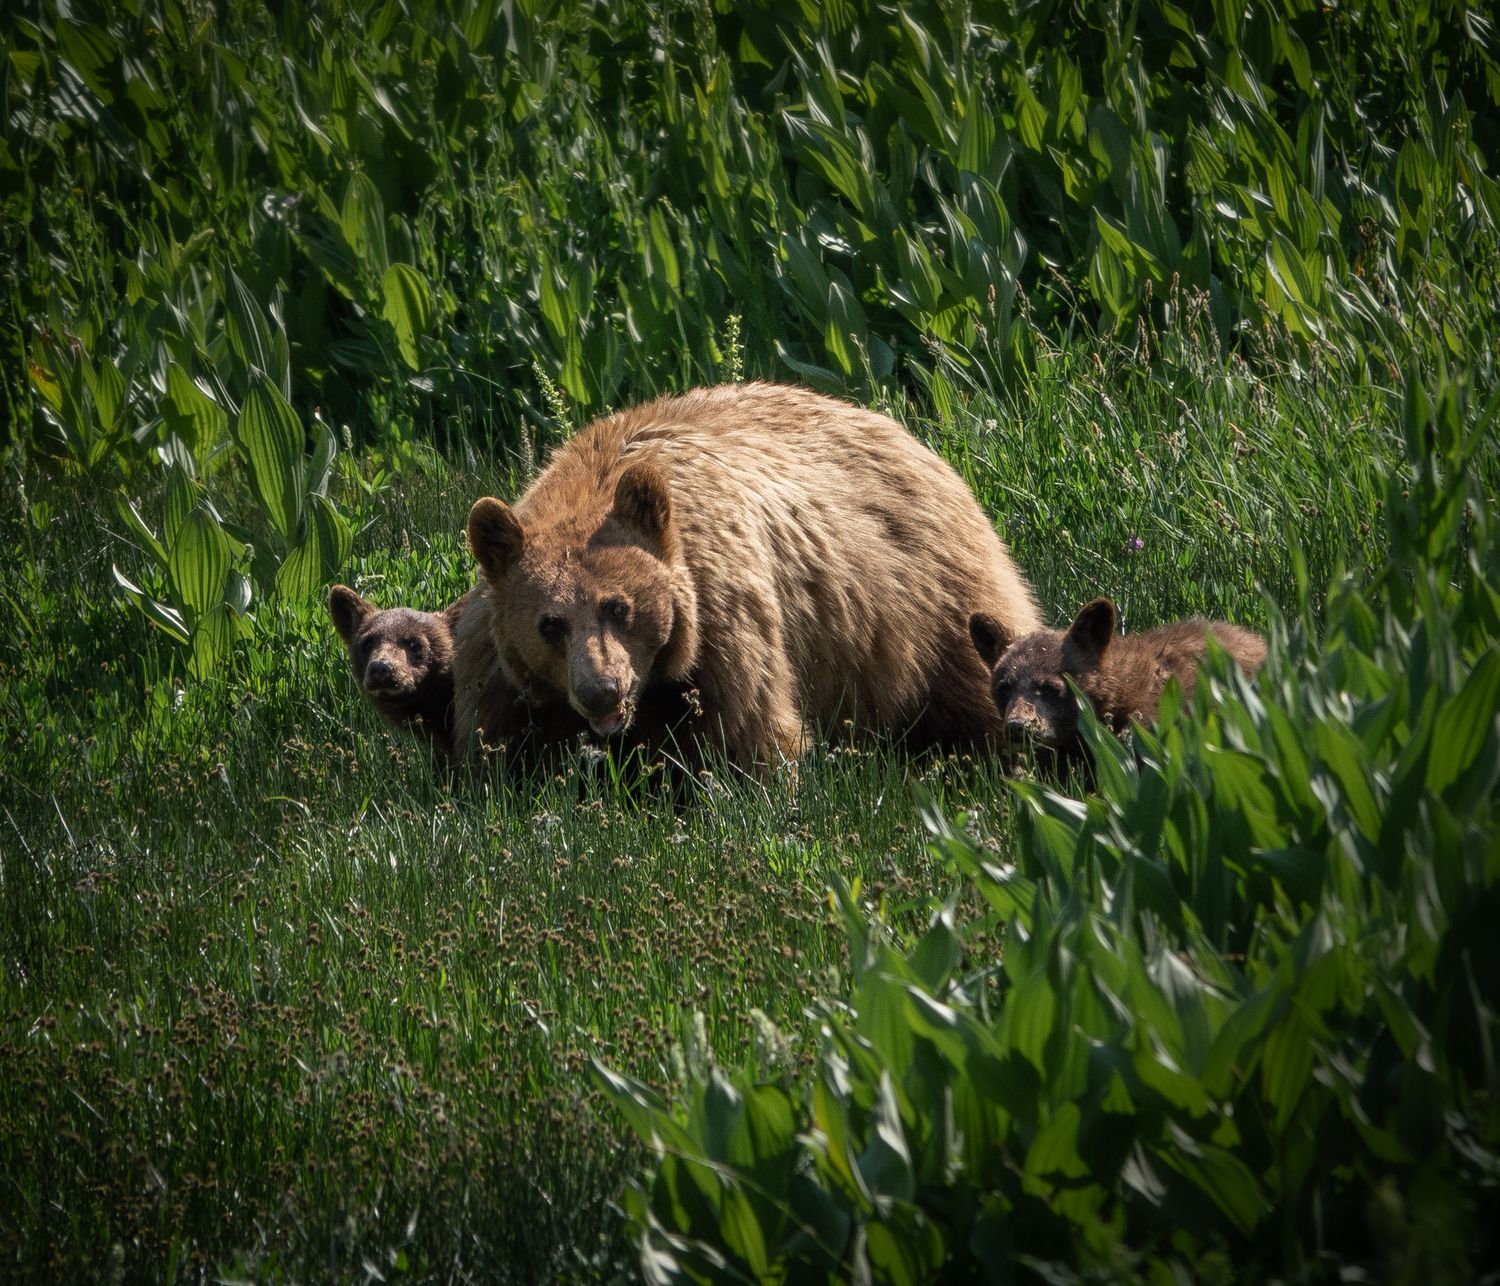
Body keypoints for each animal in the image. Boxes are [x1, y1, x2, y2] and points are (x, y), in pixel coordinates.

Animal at [454, 382, 1041, 770]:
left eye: (618, 607)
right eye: (550, 624)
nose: (601, 690)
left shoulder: (724, 616)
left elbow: (749, 727)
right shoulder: (500, 665)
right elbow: (497, 745)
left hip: (929, 600)